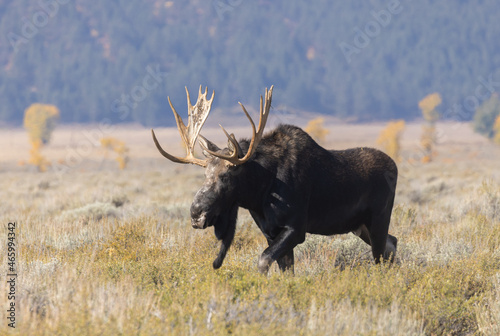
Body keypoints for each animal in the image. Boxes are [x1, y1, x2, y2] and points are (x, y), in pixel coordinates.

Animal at [152, 85, 398, 274]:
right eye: (204, 175)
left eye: (226, 175)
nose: (196, 213)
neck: (260, 192)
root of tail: (395, 167)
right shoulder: (270, 232)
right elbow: (285, 269)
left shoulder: (296, 228)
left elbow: (263, 260)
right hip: (360, 226)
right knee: (392, 243)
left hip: (378, 219)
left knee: (381, 254)